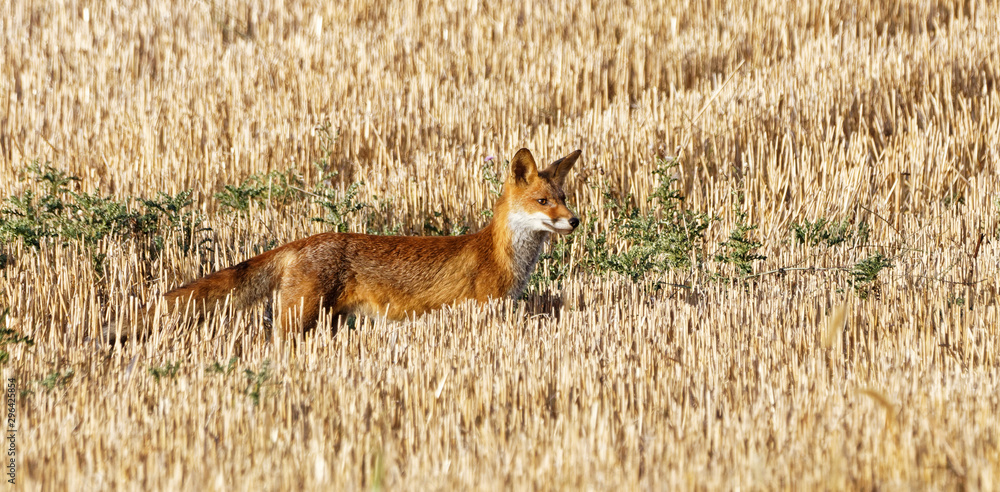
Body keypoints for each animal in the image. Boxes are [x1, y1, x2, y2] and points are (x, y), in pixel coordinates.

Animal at [162, 148, 581, 337]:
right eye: (543, 202)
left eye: (564, 197)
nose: (575, 220)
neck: (500, 256)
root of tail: (303, 241)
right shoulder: (484, 311)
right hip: (301, 321)